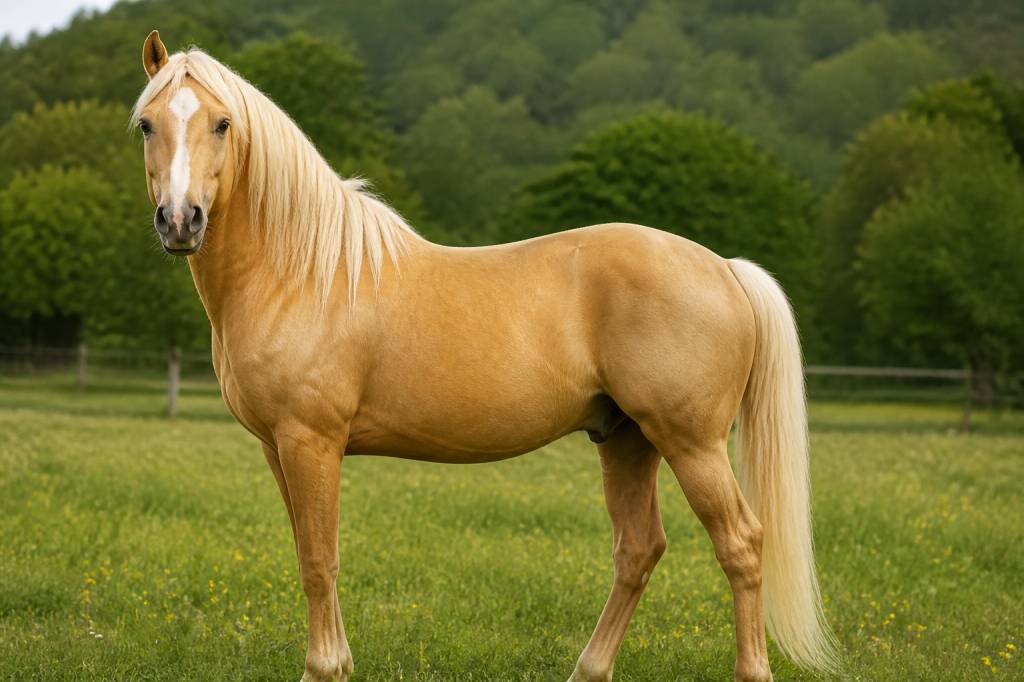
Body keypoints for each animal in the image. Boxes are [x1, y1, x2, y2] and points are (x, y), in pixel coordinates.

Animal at [132, 30, 837, 682]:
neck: (302, 272)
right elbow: (312, 552)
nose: (180, 221)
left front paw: (323, 668)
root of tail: (724, 267)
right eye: (147, 124)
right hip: (627, 440)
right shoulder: (276, 448)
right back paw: (589, 669)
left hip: (690, 443)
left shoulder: (310, 442)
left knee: (740, 544)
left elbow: (318, 560)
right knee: (638, 550)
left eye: (222, 123)